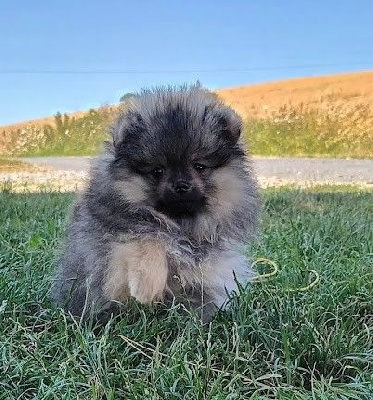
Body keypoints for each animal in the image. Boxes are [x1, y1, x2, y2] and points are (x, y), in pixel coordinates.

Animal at [50, 86, 258, 324]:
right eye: (157, 170)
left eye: (199, 166)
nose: (181, 185)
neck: (178, 224)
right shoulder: (112, 238)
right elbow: (148, 238)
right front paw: (146, 286)